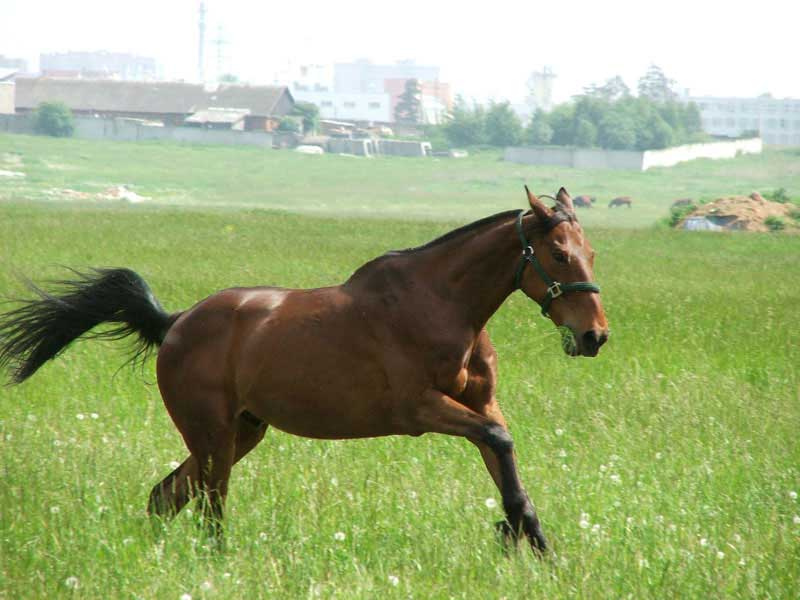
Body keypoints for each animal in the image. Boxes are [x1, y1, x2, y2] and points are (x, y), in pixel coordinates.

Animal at [0, 187, 608, 556]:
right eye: (558, 253)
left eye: (592, 251)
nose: (594, 336)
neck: (440, 304)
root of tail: (174, 322)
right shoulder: (420, 409)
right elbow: (499, 442)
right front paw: (516, 534)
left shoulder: (479, 404)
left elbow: (503, 454)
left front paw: (532, 540)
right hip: (213, 435)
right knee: (208, 507)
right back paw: (218, 562)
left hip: (242, 432)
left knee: (166, 495)